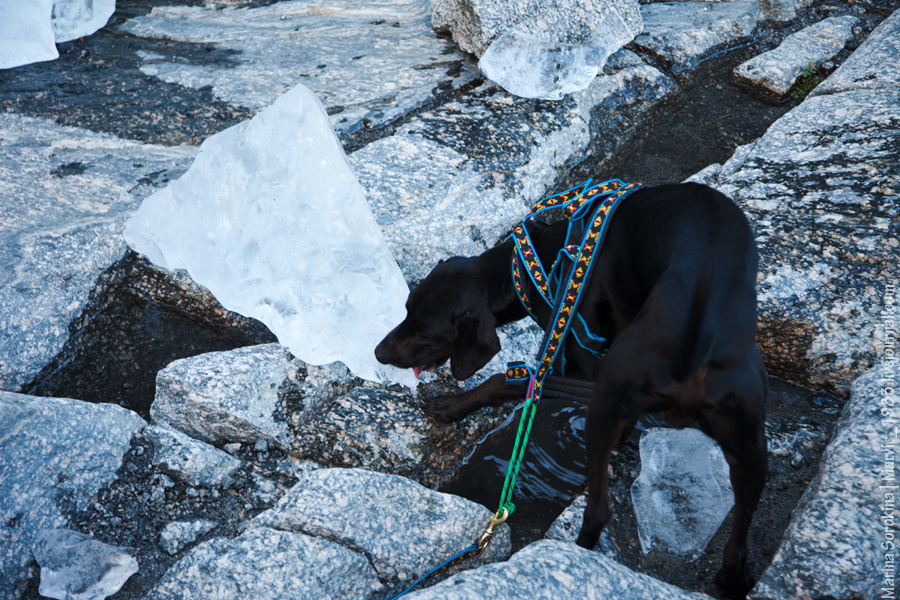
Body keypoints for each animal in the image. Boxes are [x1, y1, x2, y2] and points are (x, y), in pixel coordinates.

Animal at [376, 182, 768, 596]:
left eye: (426, 331)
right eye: (406, 309)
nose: (377, 352)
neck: (535, 262)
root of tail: (697, 335)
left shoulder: (583, 368)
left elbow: (510, 379)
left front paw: (452, 405)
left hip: (606, 401)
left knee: (597, 512)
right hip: (751, 446)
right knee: (736, 547)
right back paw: (732, 581)